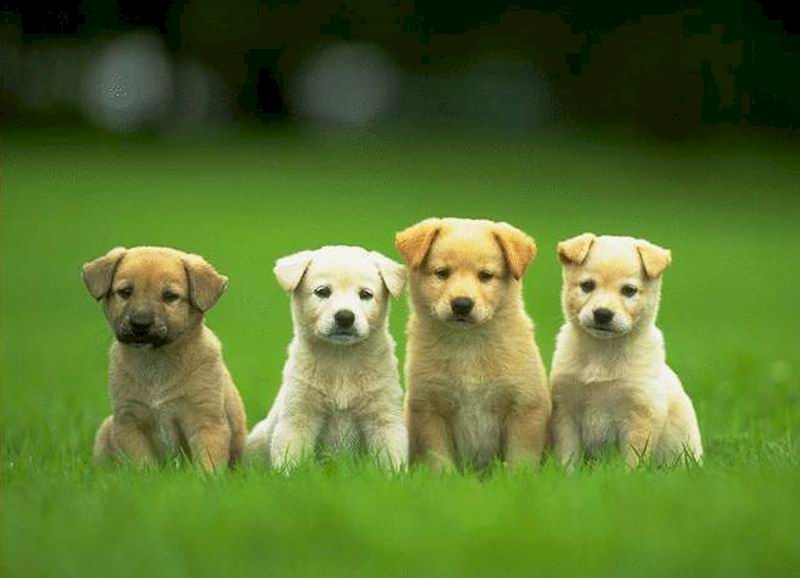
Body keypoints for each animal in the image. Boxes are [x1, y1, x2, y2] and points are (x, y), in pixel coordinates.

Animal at [83, 246, 247, 472]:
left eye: (169, 296)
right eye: (125, 292)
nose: (140, 324)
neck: (156, 360)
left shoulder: (206, 420)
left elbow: (208, 464)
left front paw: (206, 480)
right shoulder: (129, 420)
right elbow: (142, 464)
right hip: (106, 429)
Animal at [245, 246, 408, 471]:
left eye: (365, 294)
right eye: (322, 291)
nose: (345, 317)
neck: (341, 359)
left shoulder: (384, 415)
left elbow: (391, 458)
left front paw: (394, 476)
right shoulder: (298, 415)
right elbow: (290, 458)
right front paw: (291, 476)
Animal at [395, 218, 550, 472]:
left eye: (485, 275)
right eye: (442, 273)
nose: (461, 304)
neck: (467, 346)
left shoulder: (524, 407)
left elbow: (520, 460)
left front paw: (518, 478)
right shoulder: (428, 408)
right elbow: (439, 460)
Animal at [550, 233, 703, 469]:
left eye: (629, 291)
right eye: (587, 285)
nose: (603, 314)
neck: (602, 353)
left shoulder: (640, 415)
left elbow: (632, 461)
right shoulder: (565, 411)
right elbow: (568, 456)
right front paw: (566, 475)